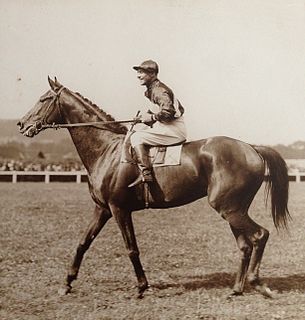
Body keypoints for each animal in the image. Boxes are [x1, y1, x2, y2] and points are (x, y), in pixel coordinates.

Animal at [17, 77, 288, 300]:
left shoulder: (119, 209)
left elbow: (131, 249)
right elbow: (83, 243)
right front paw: (67, 283)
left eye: (43, 99)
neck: (107, 150)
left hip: (229, 208)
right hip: (233, 209)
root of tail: (251, 147)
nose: (21, 124)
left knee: (260, 235)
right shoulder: (102, 209)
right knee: (245, 245)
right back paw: (236, 288)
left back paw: (257, 283)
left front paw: (142, 286)